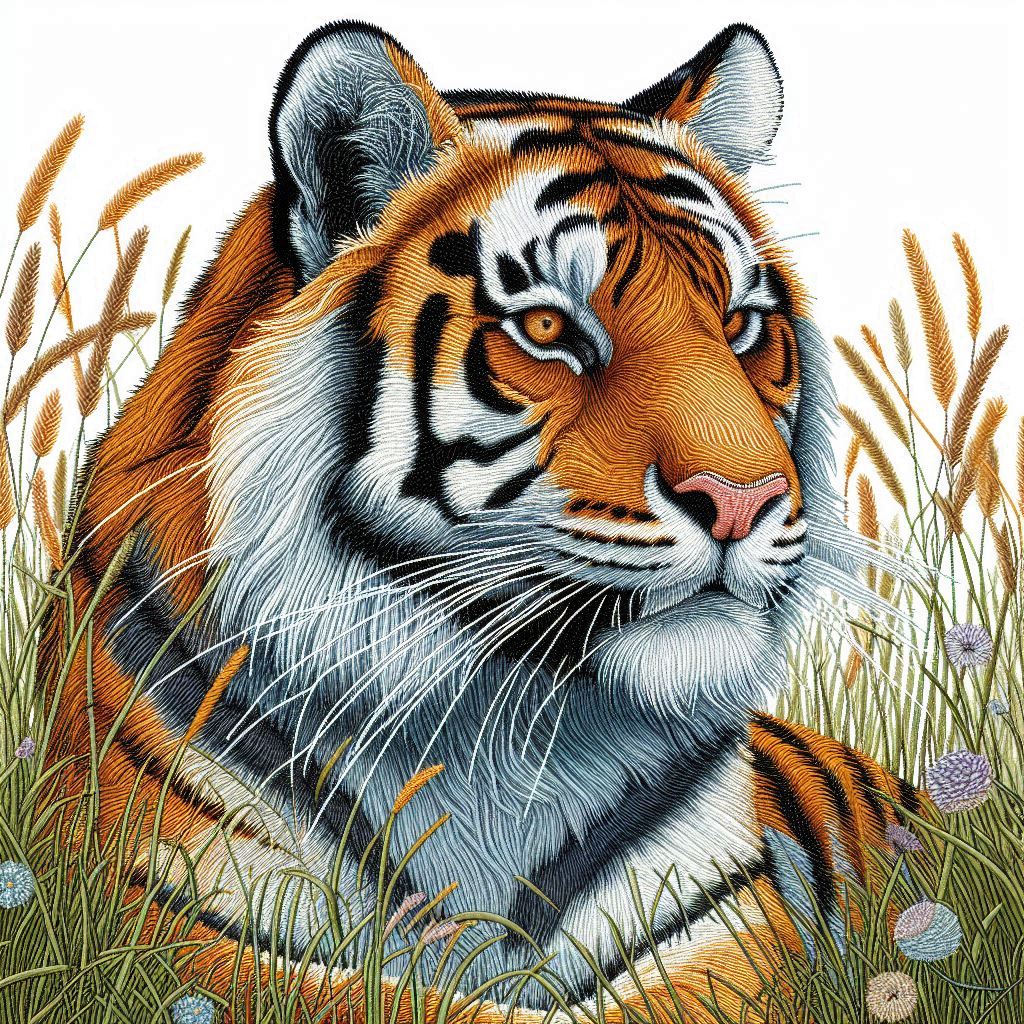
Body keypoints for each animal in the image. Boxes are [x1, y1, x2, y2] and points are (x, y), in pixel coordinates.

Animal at [42, 19, 922, 1022]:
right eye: (546, 329)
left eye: (739, 323)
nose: (747, 499)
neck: (497, 744)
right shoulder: (186, 925)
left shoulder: (720, 933)